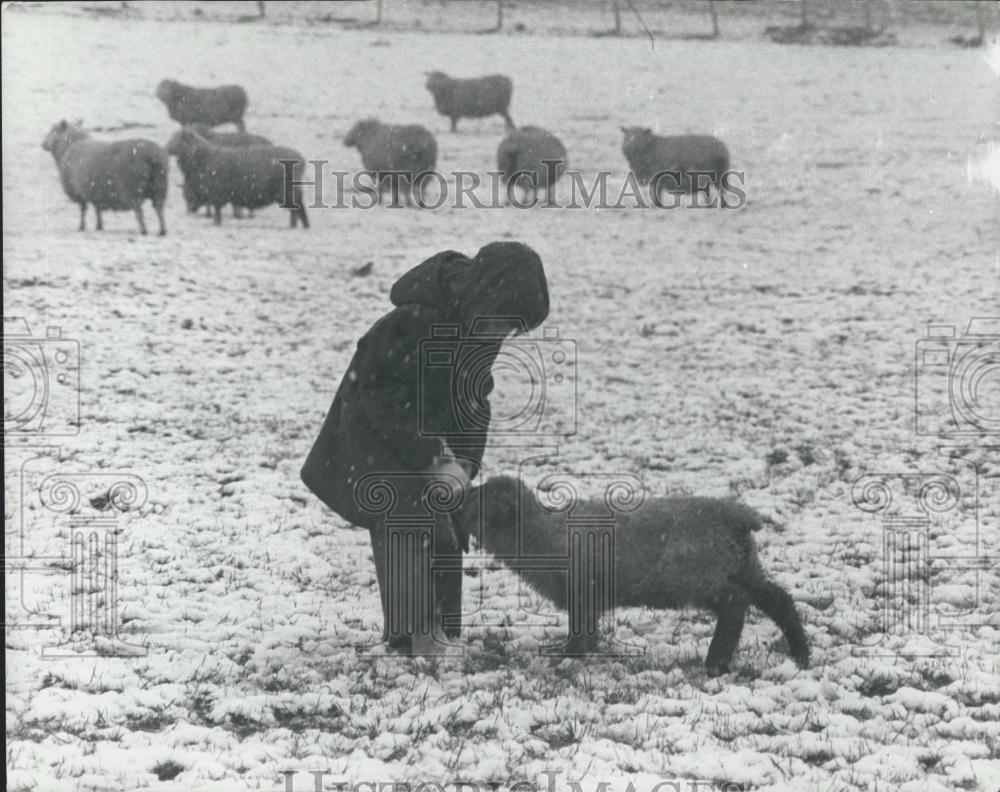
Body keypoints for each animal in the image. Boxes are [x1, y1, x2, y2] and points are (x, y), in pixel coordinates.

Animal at [164, 128, 308, 229]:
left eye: (177, 139)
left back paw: (293, 226)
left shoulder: (216, 191)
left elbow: (216, 208)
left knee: (295, 209)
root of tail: (301, 158)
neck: (203, 157)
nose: (165, 149)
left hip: (288, 191)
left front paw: (216, 222)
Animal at [460, 474, 812, 676]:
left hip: (699, 575)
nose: (457, 497)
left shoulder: (582, 589)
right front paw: (582, 654)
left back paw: (716, 662)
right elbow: (586, 628)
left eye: (482, 497)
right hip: (743, 565)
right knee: (778, 599)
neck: (540, 534)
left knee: (735, 604)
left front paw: (568, 658)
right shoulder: (587, 595)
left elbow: (580, 630)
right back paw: (801, 653)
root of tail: (737, 516)